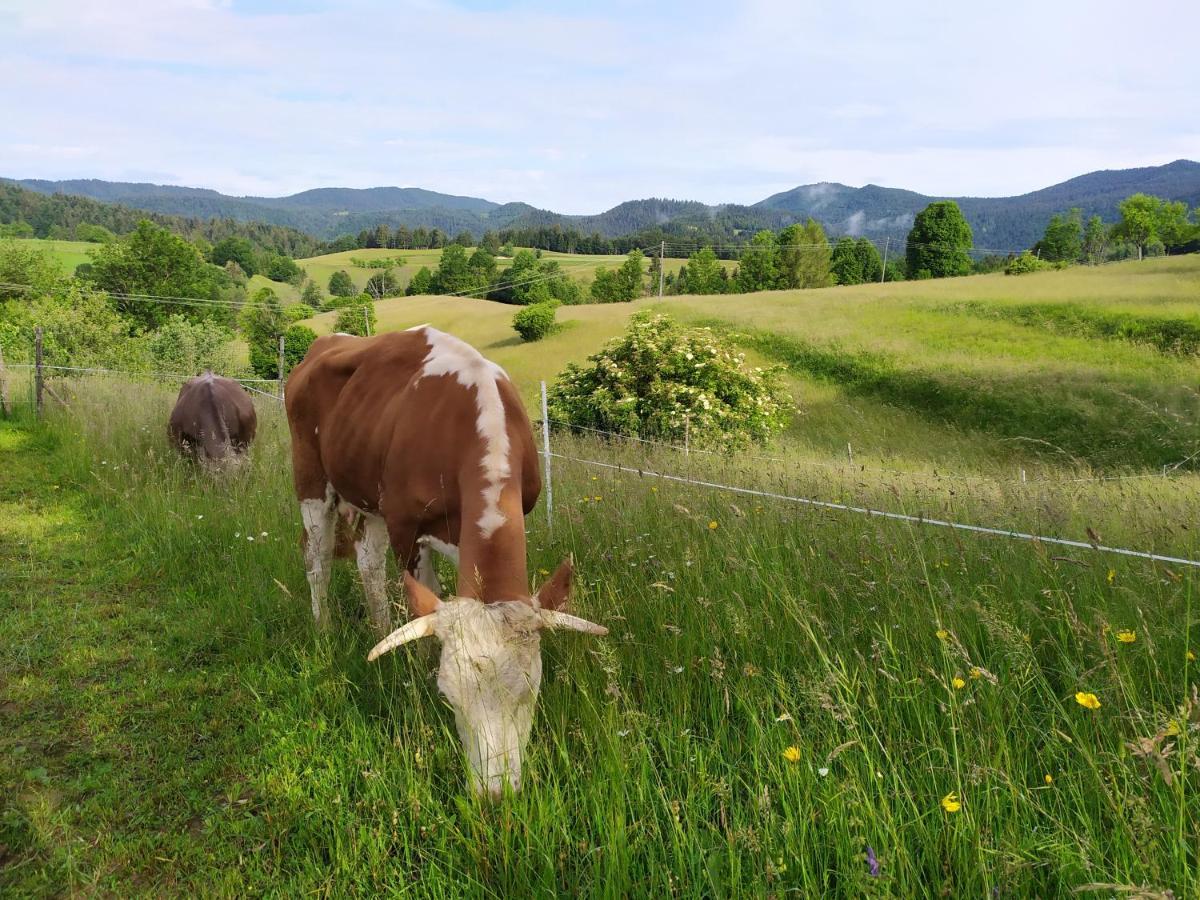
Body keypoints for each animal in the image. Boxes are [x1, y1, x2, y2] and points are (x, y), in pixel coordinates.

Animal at [284, 326, 604, 796]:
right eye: (447, 697)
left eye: (530, 691)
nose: (494, 794)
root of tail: (328, 340)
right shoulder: (406, 527)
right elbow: (423, 602)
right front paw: (416, 670)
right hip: (311, 478)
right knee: (318, 558)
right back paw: (323, 630)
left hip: (368, 497)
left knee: (367, 560)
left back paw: (379, 626)